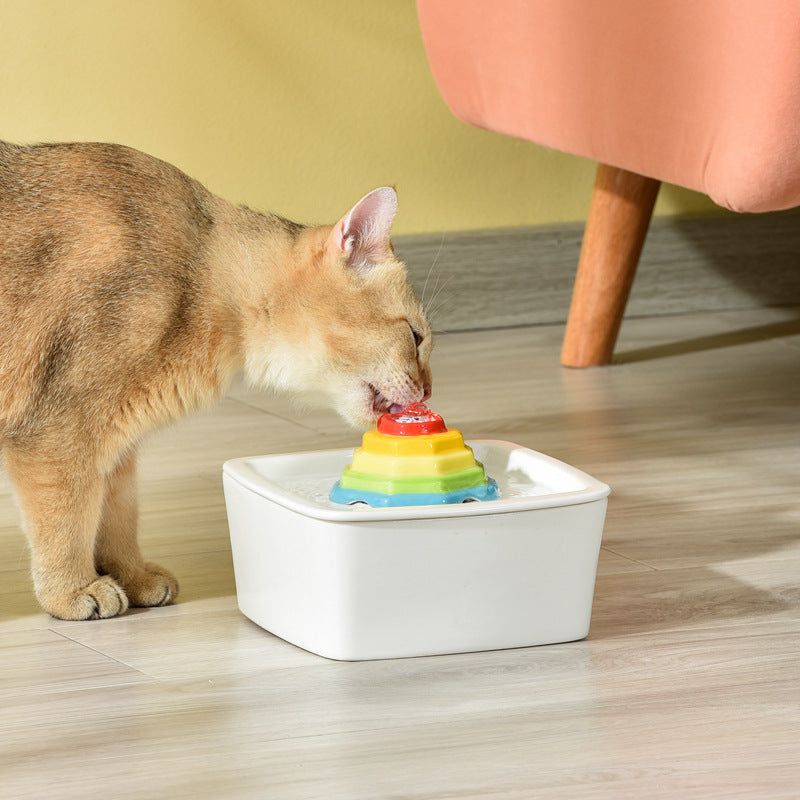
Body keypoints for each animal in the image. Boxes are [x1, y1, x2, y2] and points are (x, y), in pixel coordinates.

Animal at [0, 141, 432, 620]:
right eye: (415, 337)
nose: (428, 389)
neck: (203, 276)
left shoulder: (116, 443)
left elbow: (118, 513)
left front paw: (131, 575)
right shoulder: (58, 431)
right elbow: (67, 517)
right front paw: (73, 589)